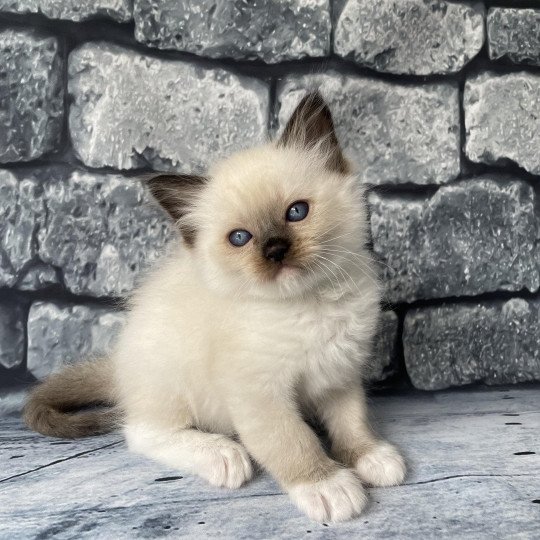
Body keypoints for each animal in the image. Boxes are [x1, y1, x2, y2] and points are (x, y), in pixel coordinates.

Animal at [25, 94, 404, 524]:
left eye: (297, 212)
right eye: (240, 238)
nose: (275, 250)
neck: (309, 305)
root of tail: (118, 366)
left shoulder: (339, 375)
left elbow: (351, 423)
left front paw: (372, 458)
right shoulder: (259, 394)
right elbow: (293, 441)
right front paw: (328, 486)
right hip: (170, 381)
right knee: (140, 432)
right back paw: (223, 455)